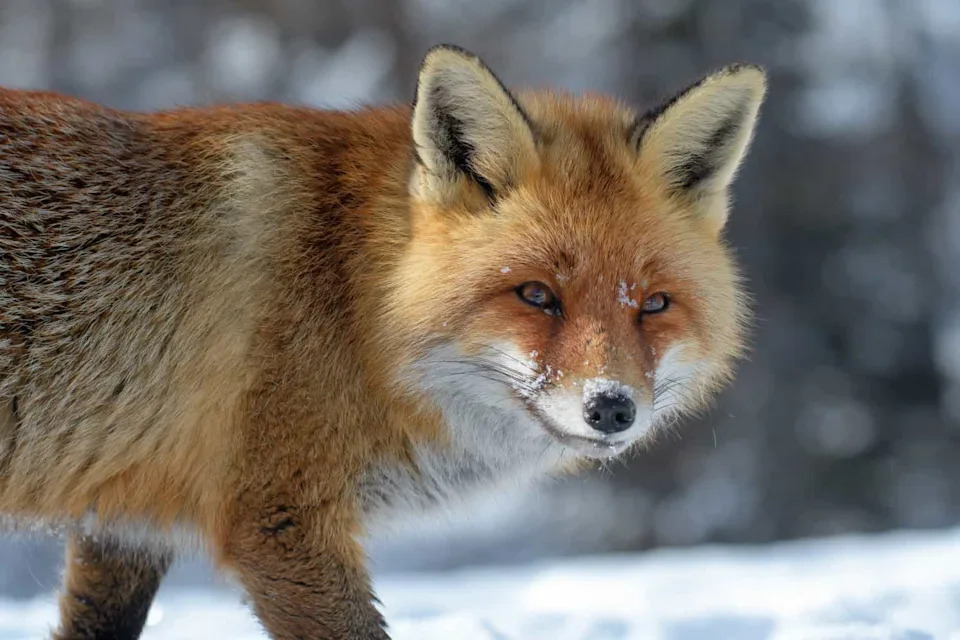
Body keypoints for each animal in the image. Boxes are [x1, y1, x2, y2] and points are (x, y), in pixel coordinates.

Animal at [0, 44, 765, 639]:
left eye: (654, 305)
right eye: (536, 295)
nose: (611, 408)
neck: (356, 306)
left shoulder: (128, 514)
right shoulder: (280, 523)